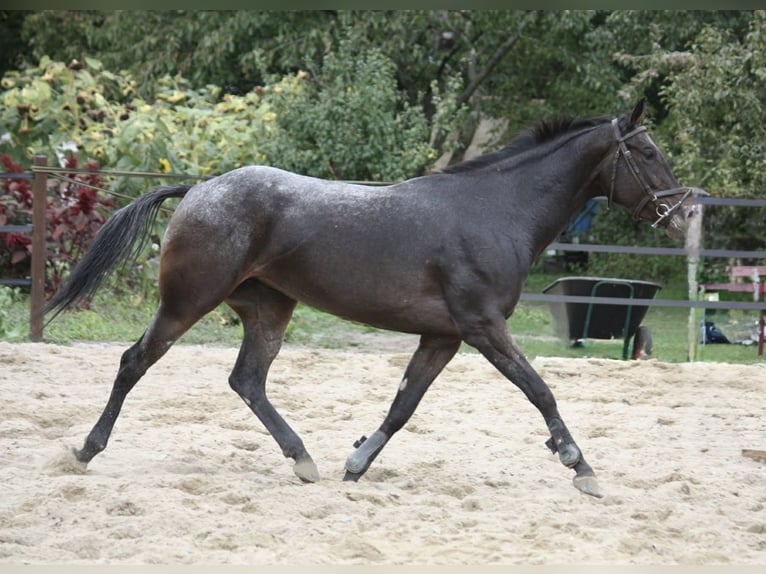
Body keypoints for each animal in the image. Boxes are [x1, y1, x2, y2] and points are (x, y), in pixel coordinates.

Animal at [44, 98, 704, 498]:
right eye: (648, 153)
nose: (680, 215)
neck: (497, 211)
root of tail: (200, 188)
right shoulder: (483, 327)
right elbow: (540, 390)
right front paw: (579, 465)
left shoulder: (444, 336)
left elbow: (403, 405)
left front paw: (355, 464)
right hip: (187, 303)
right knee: (135, 362)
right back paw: (87, 449)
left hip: (268, 310)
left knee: (247, 381)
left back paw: (303, 459)